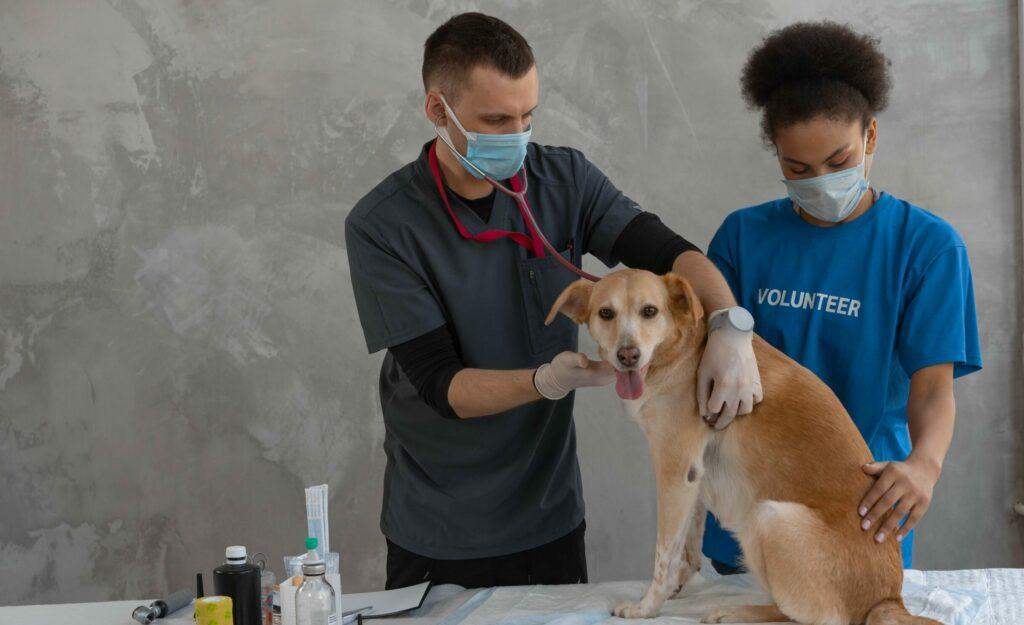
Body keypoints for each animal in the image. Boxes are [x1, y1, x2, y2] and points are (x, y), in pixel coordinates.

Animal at [548, 270, 937, 622]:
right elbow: (688, 547)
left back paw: (735, 612)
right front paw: (678, 586)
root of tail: (888, 601)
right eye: (606, 313)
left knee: (807, 617)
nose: (628, 355)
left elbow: (663, 554)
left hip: (768, 517)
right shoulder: (695, 477)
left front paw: (646, 607)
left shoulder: (675, 471)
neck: (681, 351)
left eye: (649, 311)